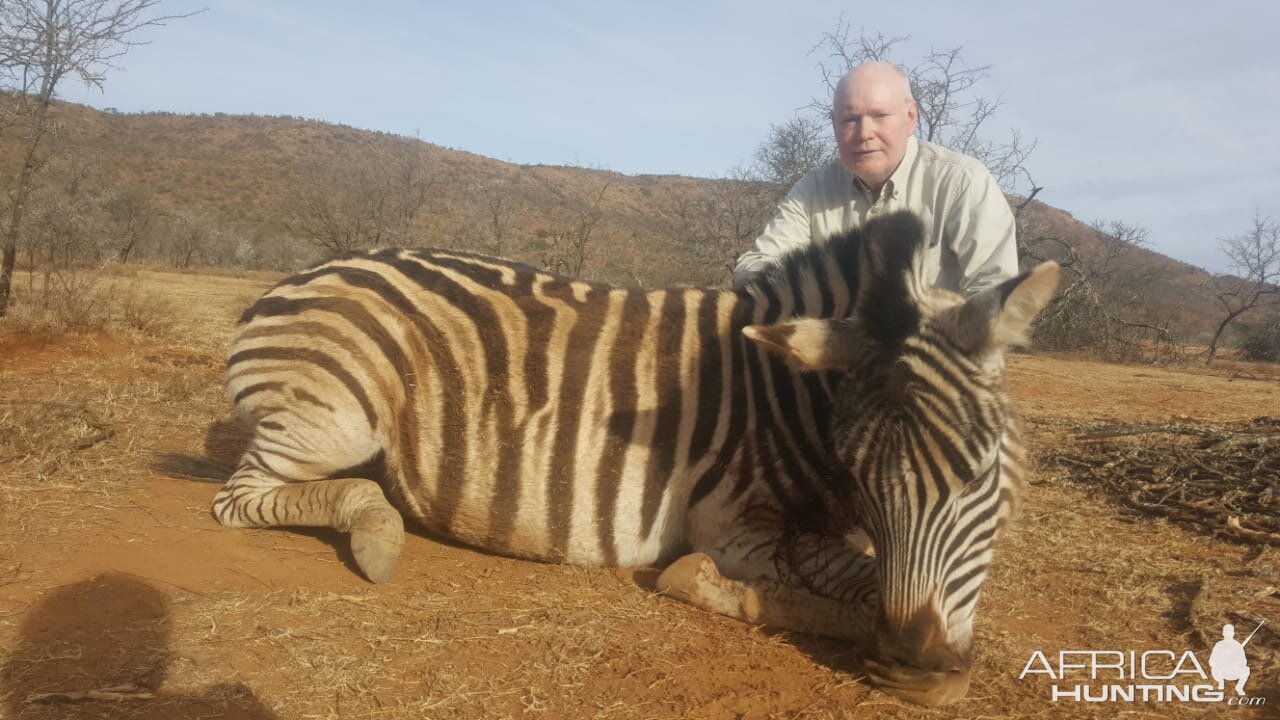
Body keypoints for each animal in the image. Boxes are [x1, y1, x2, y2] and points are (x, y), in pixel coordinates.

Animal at [209, 210, 1054, 702]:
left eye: (981, 469)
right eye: (865, 478)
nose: (915, 668)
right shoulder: (736, 526)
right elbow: (856, 582)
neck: (790, 396)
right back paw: (376, 531)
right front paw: (716, 586)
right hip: (336, 416)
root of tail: (299, 276)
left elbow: (877, 575)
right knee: (239, 499)